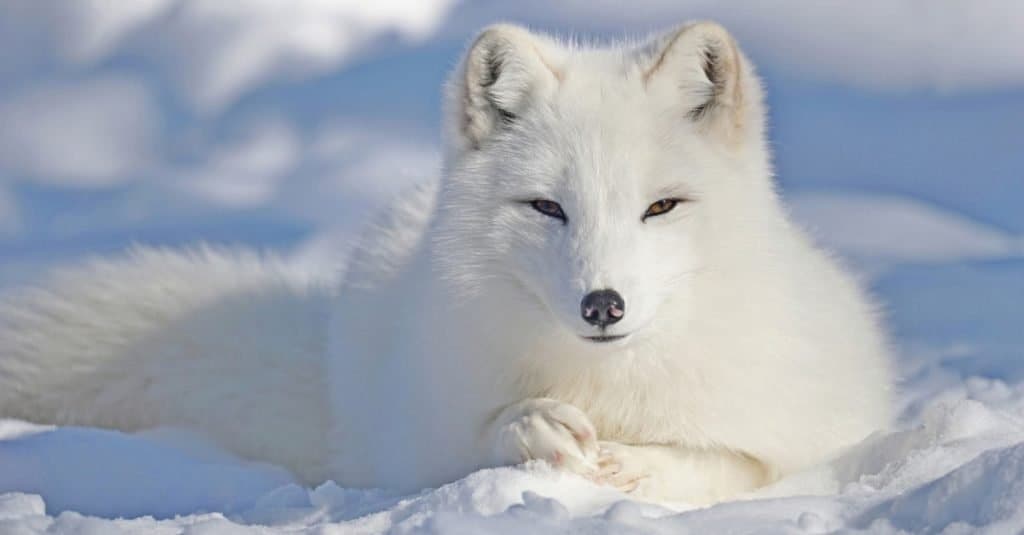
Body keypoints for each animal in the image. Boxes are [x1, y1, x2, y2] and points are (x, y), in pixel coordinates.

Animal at [0, 21, 888, 504]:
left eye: (661, 207)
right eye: (547, 207)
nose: (602, 304)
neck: (607, 385)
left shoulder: (810, 430)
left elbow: (731, 461)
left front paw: (637, 463)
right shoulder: (427, 438)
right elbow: (479, 434)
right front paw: (534, 427)